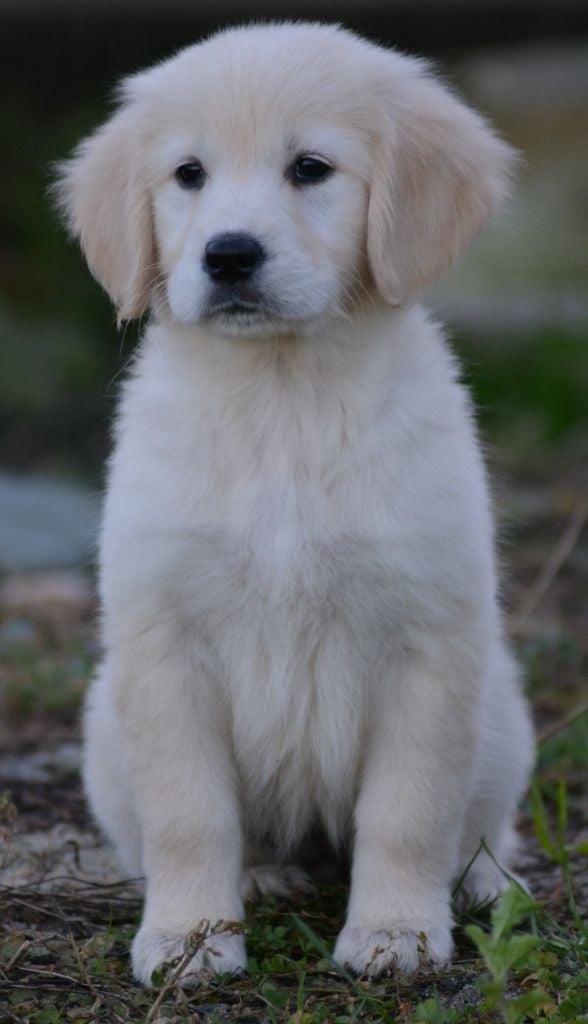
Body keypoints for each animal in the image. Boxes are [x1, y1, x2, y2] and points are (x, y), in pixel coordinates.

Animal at [57, 22, 536, 983]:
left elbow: (407, 812)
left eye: (311, 167)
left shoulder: (427, 641)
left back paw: (485, 884)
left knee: (483, 825)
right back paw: (263, 875)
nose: (229, 254)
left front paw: (394, 932)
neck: (281, 397)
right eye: (189, 173)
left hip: (502, 711)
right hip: (103, 729)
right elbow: (189, 814)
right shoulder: (165, 646)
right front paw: (190, 938)